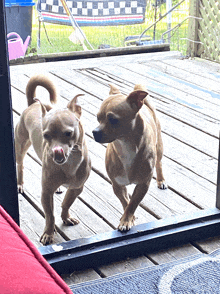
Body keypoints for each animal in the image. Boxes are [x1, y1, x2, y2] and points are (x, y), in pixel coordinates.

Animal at [15, 74, 91, 245]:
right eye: (46, 135)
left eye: (69, 133)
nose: (56, 152)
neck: (70, 164)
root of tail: (33, 104)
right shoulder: (46, 192)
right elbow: (50, 215)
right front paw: (49, 233)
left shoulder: (77, 188)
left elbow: (66, 203)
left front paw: (66, 218)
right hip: (20, 147)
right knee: (20, 165)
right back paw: (20, 183)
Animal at [93, 84, 167, 231]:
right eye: (98, 118)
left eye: (113, 120)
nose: (95, 132)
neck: (125, 145)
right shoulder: (117, 185)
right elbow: (126, 201)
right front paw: (129, 218)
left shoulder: (143, 184)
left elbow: (133, 203)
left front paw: (126, 220)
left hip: (159, 147)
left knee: (159, 163)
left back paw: (161, 180)